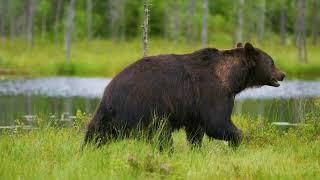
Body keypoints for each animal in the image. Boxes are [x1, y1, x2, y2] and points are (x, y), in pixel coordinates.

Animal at [82, 42, 284, 149]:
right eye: (272, 62)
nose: (283, 74)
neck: (232, 79)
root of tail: (110, 89)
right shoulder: (213, 92)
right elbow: (217, 123)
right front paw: (237, 140)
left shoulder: (195, 108)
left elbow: (196, 130)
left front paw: (197, 148)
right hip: (149, 108)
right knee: (162, 134)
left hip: (108, 115)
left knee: (95, 131)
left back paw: (87, 148)